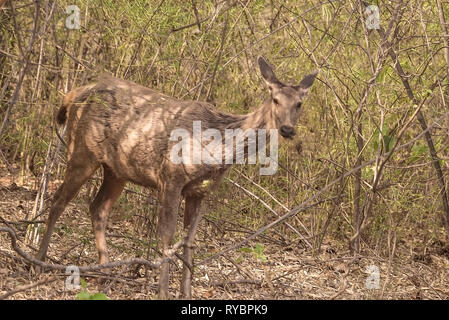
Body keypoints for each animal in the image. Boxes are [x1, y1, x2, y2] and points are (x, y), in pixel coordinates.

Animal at [36, 56, 316, 298]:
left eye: (299, 103)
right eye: (275, 99)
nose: (287, 129)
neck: (217, 150)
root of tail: (75, 93)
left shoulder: (200, 191)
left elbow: (189, 241)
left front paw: (186, 292)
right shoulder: (170, 177)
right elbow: (167, 237)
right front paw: (162, 292)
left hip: (117, 169)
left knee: (98, 207)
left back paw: (104, 270)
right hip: (82, 151)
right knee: (58, 200)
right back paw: (39, 261)